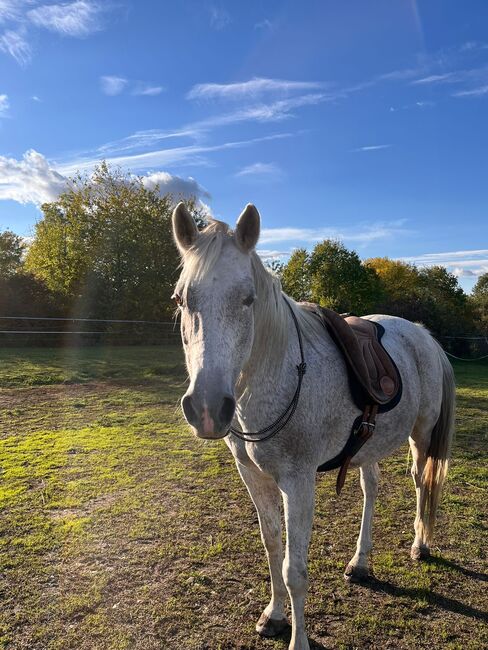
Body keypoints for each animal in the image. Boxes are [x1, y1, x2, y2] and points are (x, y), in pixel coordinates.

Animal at [171, 200, 454, 644]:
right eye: (181, 298)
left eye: (248, 299)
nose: (206, 407)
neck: (282, 371)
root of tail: (423, 334)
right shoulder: (253, 475)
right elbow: (272, 547)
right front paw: (273, 616)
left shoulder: (298, 481)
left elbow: (295, 570)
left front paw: (298, 640)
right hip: (369, 445)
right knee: (372, 488)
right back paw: (360, 562)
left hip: (422, 436)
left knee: (422, 481)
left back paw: (420, 545)